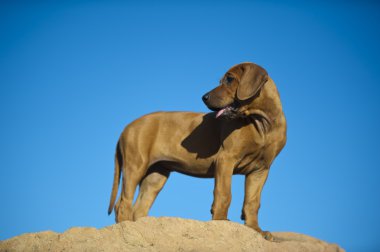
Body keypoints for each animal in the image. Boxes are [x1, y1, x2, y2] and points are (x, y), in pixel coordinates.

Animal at [107, 62, 284, 240]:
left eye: (229, 79)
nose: (204, 97)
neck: (261, 123)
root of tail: (126, 128)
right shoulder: (226, 159)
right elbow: (224, 193)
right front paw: (221, 221)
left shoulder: (261, 169)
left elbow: (252, 201)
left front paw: (255, 229)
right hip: (135, 165)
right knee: (122, 203)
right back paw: (126, 230)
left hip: (156, 175)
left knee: (139, 208)